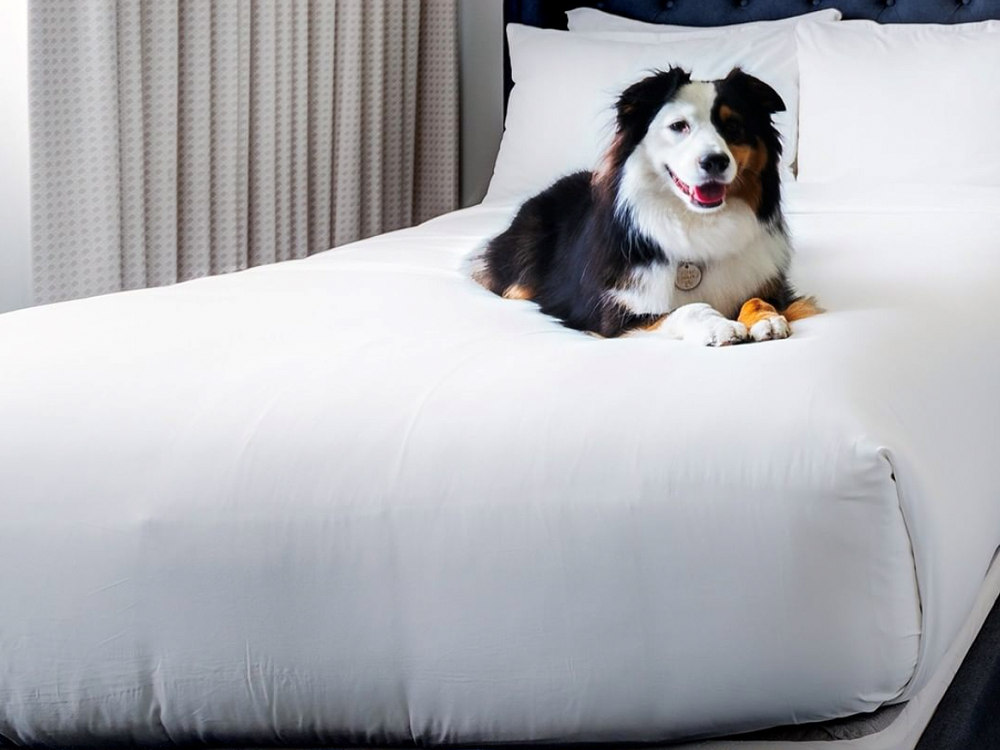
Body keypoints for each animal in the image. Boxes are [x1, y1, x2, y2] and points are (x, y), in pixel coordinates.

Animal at [472, 67, 816, 344]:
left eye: (734, 126)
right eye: (679, 126)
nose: (715, 161)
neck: (697, 224)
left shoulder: (771, 284)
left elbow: (758, 298)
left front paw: (766, 318)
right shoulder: (614, 314)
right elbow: (684, 308)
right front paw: (718, 325)